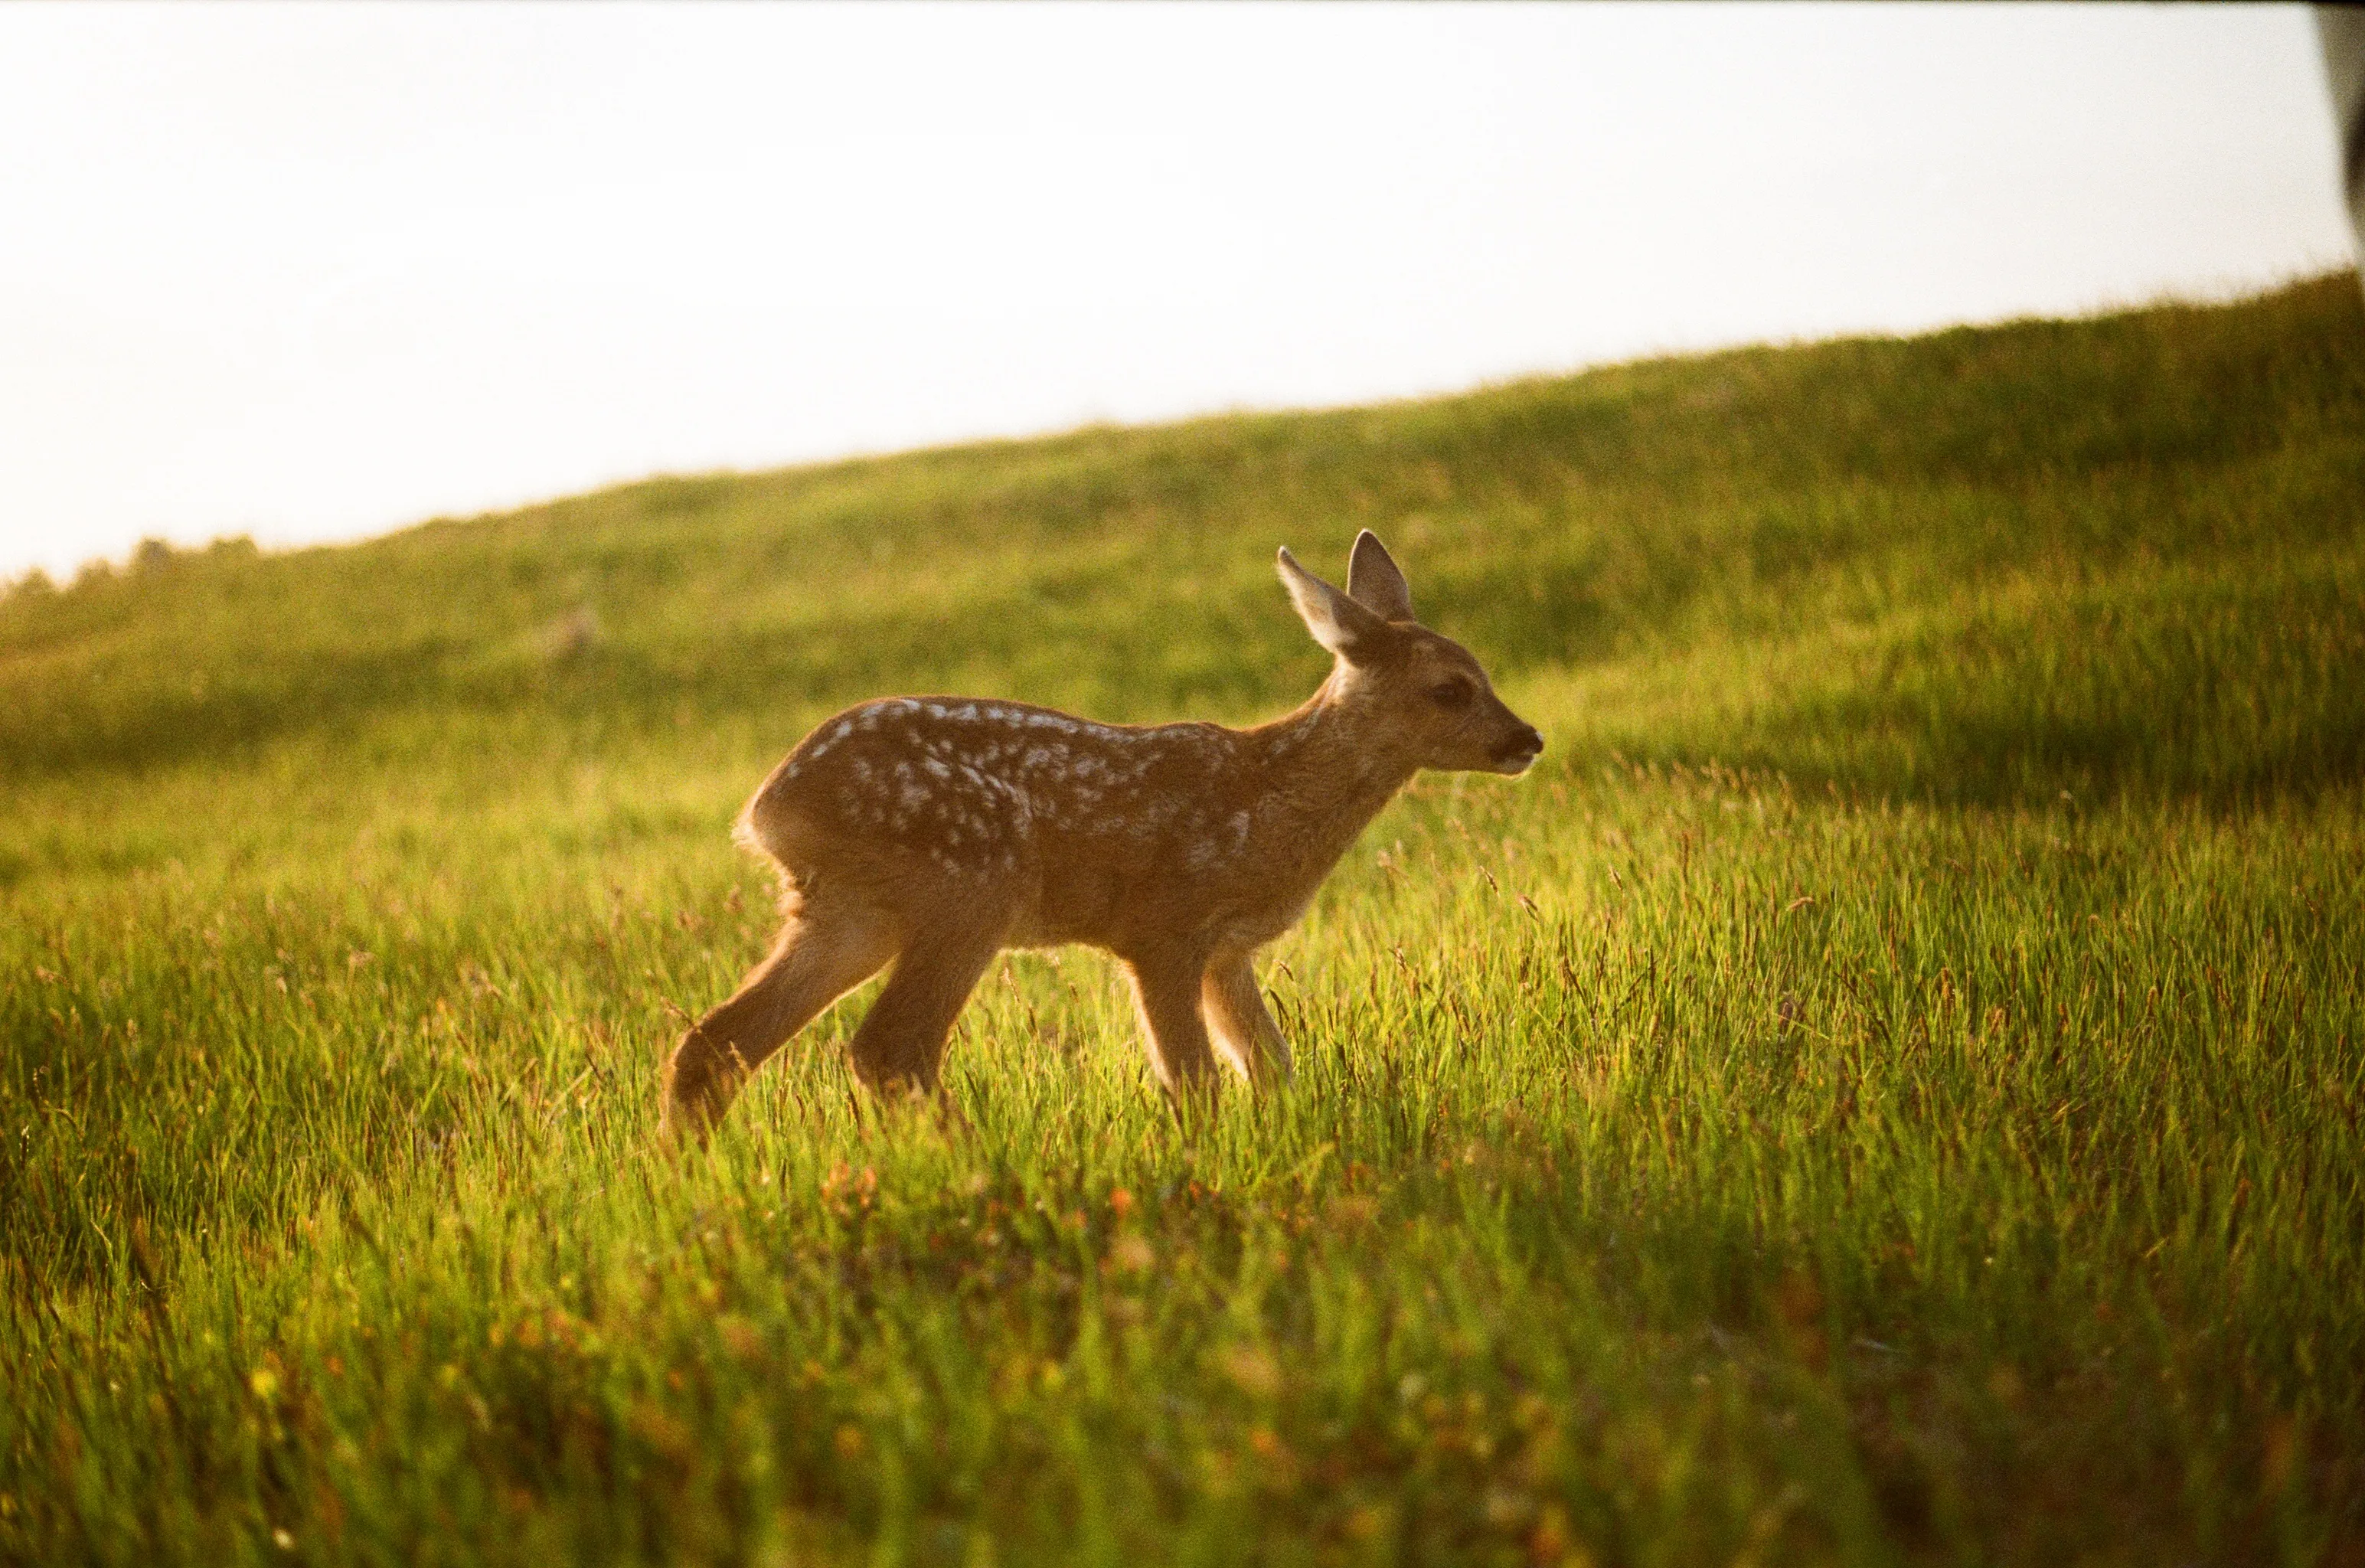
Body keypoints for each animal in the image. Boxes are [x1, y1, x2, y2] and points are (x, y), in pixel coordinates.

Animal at [660, 530, 1542, 1139]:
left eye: (1482, 670)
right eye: (1449, 688)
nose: (1526, 738)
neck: (1265, 801)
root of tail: (767, 809)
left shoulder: (1228, 950)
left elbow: (1271, 1066)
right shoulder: (1162, 929)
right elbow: (1195, 1079)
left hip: (849, 913)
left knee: (716, 1042)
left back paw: (687, 1179)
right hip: (971, 882)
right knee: (890, 1049)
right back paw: (981, 1166)